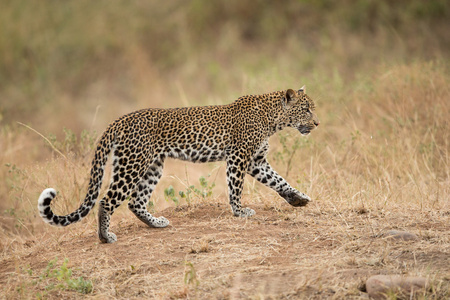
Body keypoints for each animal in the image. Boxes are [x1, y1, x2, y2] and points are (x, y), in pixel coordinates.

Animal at [39, 85, 320, 243]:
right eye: (306, 109)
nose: (317, 123)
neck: (273, 119)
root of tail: (119, 120)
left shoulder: (256, 161)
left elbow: (279, 180)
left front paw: (298, 199)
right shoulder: (239, 157)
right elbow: (236, 187)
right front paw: (240, 212)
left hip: (152, 166)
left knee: (135, 202)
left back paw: (156, 223)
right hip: (132, 165)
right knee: (107, 200)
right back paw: (105, 237)